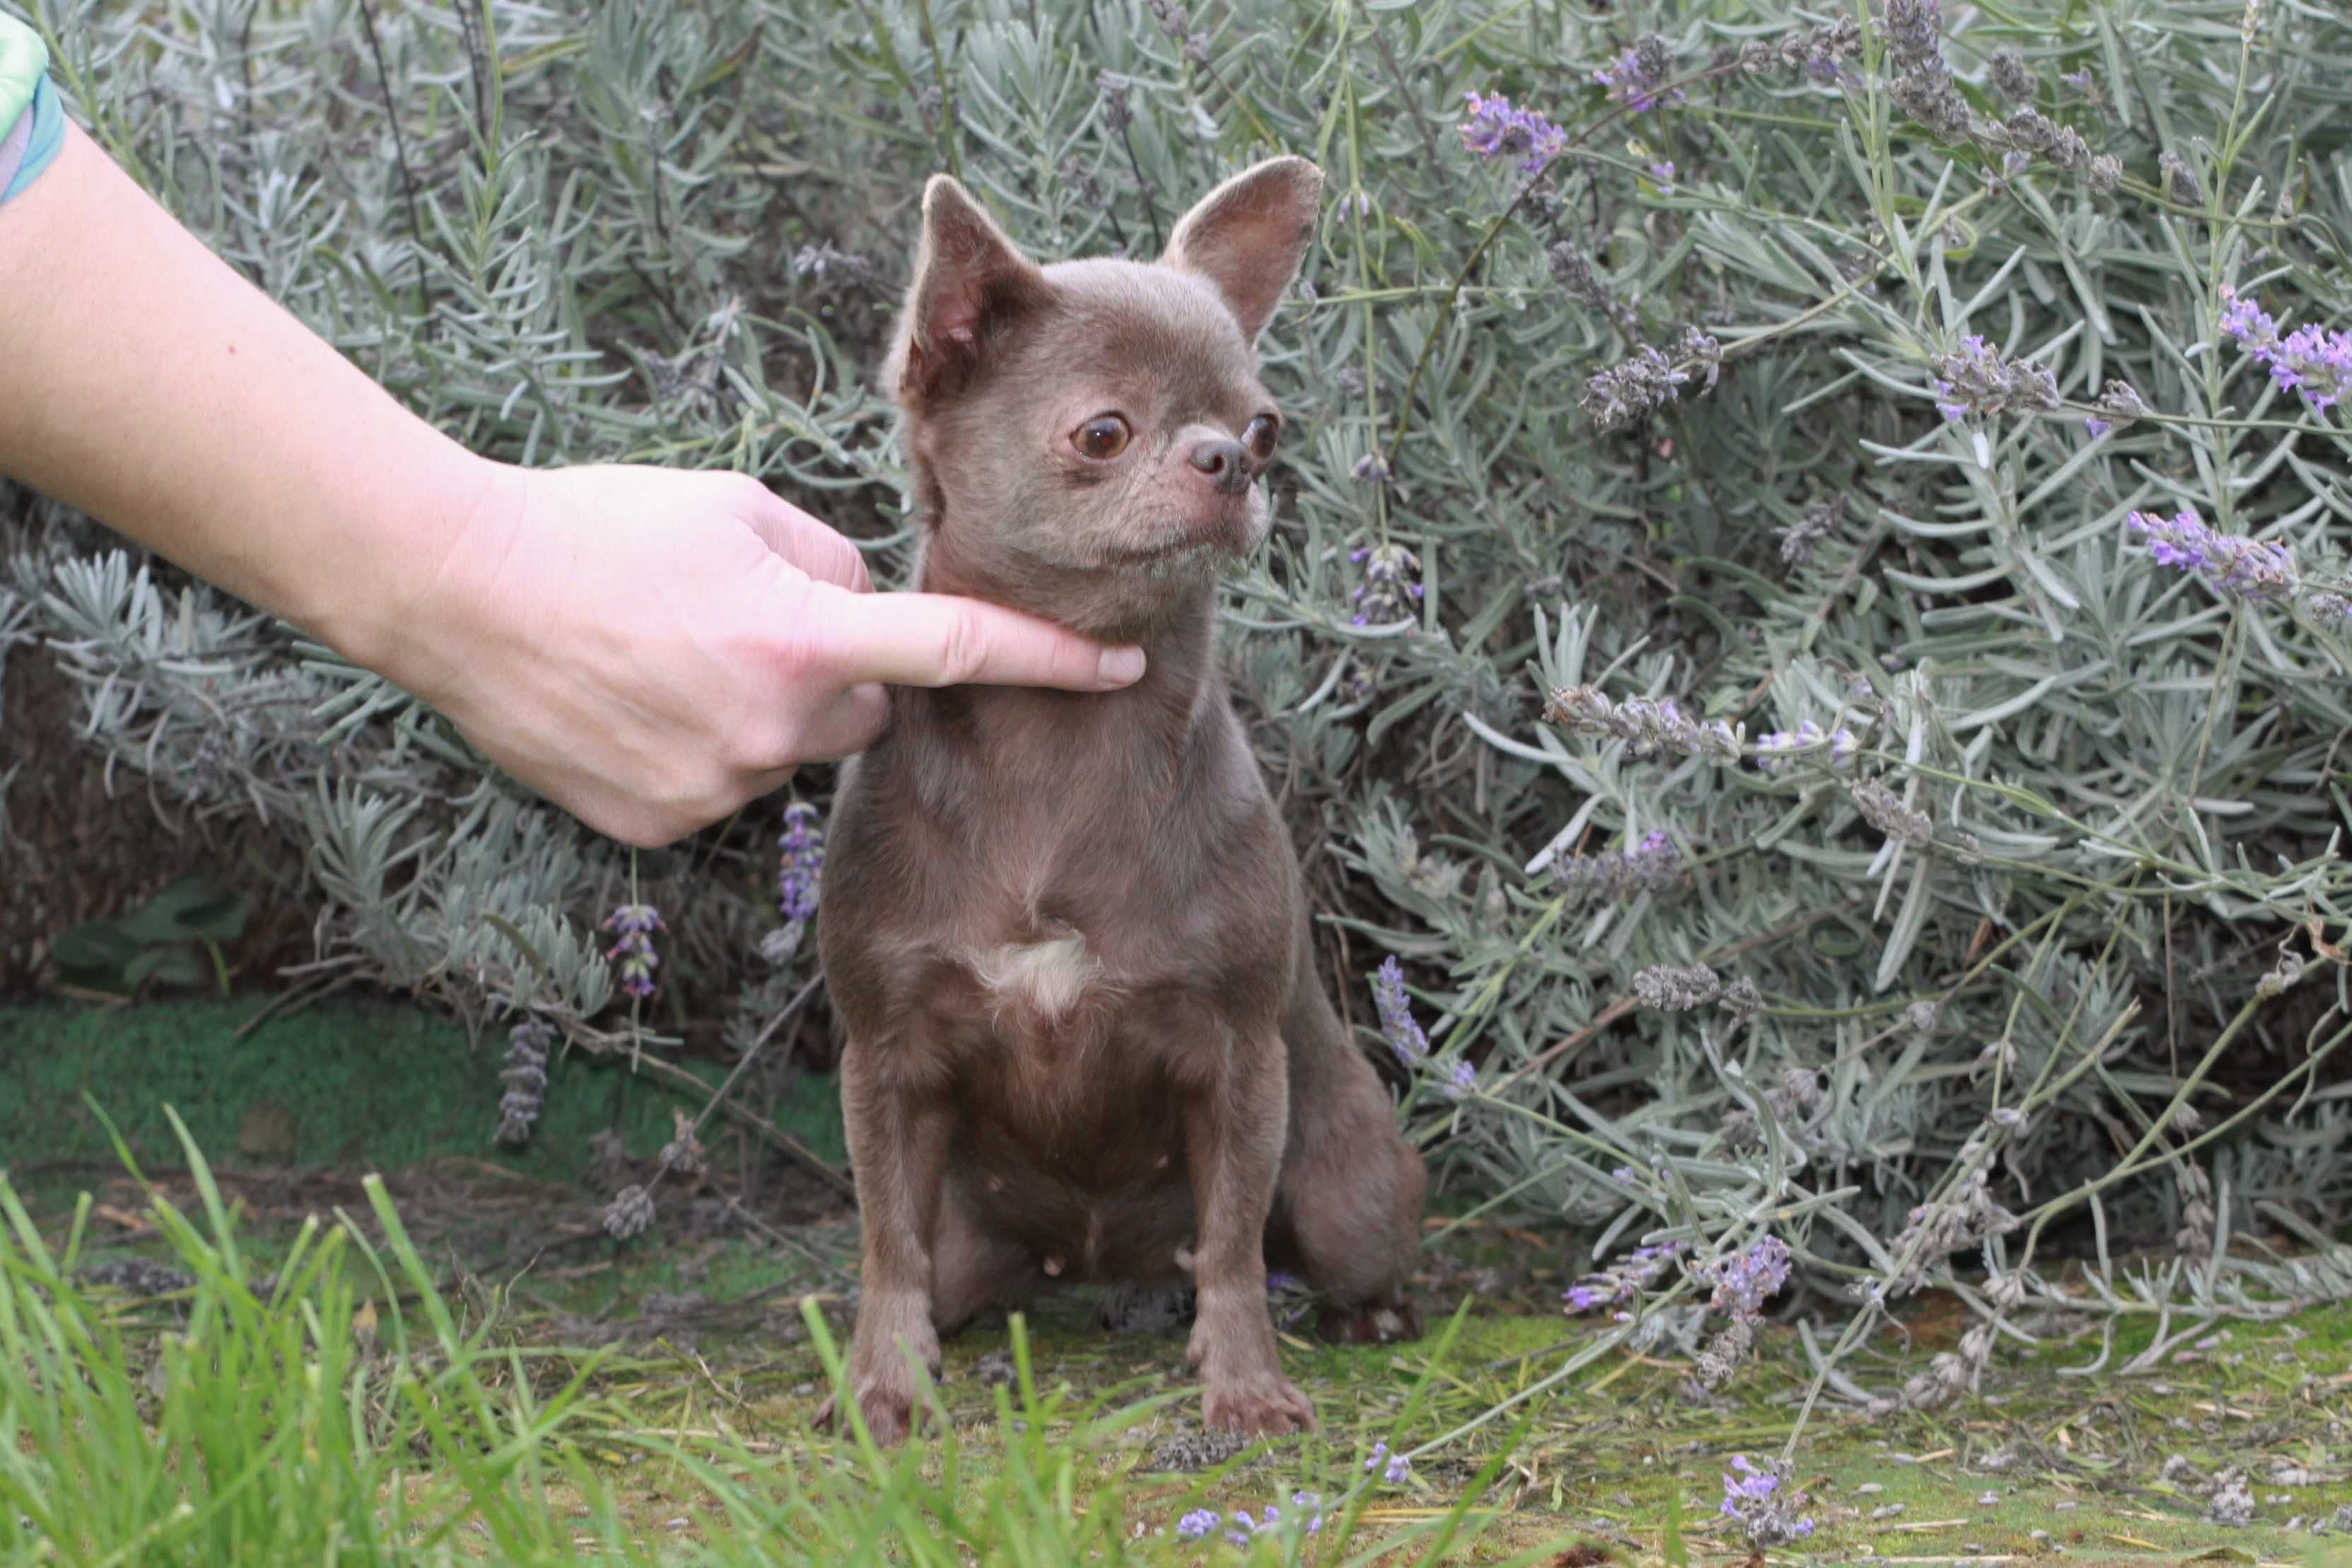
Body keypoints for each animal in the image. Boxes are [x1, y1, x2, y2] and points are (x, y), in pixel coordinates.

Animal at [818, 153, 1420, 1439]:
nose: (1228, 459)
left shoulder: (1237, 1062)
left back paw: (1366, 1315)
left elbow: (1233, 1240)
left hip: (1350, 1189)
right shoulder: (887, 1059)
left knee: (1316, 1242)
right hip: (975, 1228)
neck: (1061, 738)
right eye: (1103, 432)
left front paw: (1244, 1388)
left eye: (1265, 425)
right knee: (942, 1258)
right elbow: (887, 1241)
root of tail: (1095, 1265)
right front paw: (884, 1384)